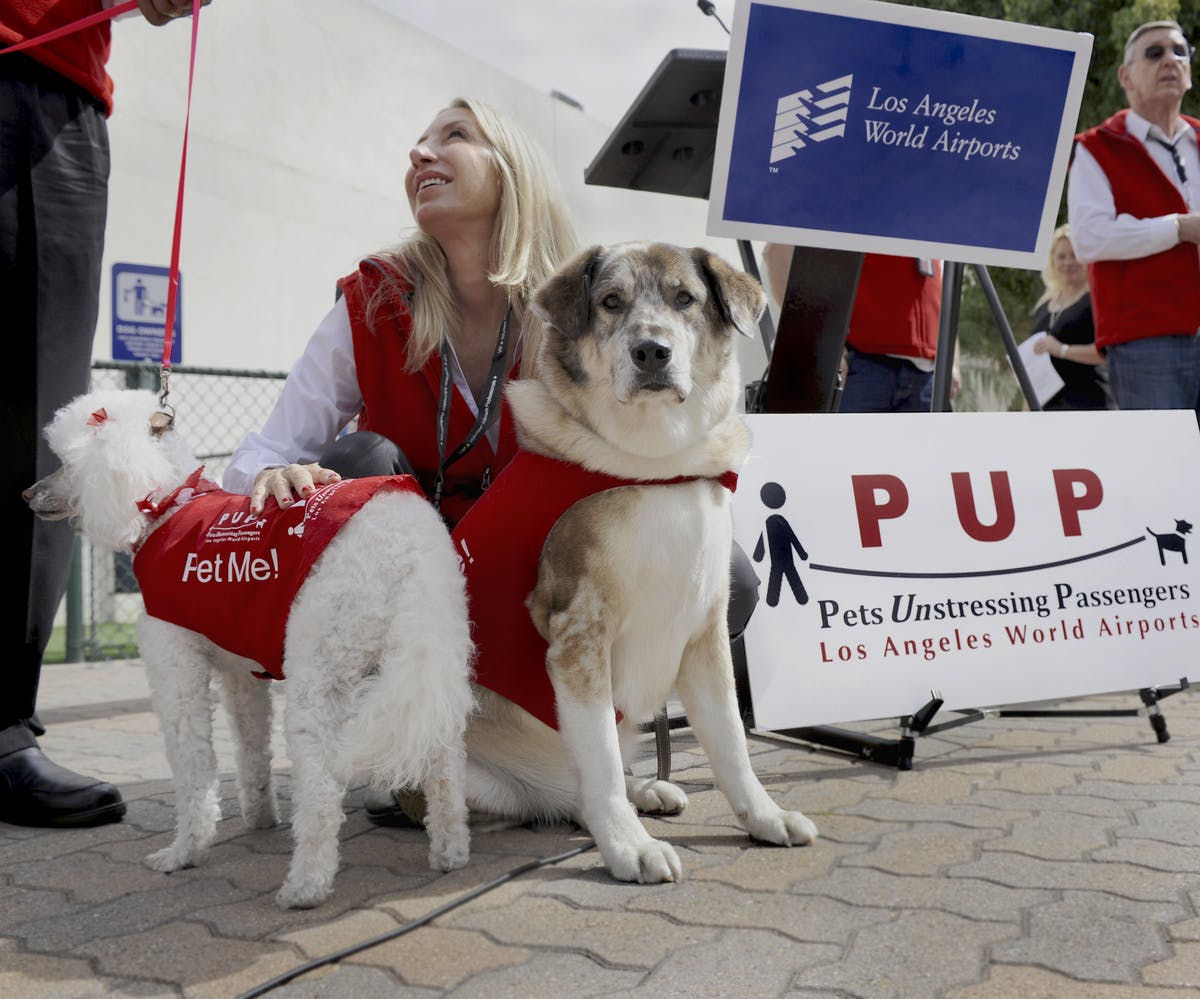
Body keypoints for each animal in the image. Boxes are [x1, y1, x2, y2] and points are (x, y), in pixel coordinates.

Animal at [458, 242, 816, 883]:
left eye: (685, 298)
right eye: (610, 302)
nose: (651, 351)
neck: (655, 465)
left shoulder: (705, 632)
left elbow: (732, 743)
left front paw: (764, 817)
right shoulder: (579, 635)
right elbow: (599, 758)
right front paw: (629, 847)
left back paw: (646, 791)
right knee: (575, 785)